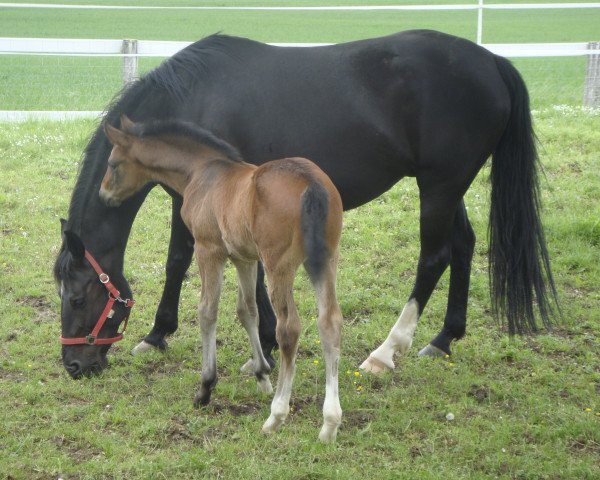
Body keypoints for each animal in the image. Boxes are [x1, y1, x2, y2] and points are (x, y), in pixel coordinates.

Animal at [54, 30, 556, 378]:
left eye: (77, 297)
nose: (74, 366)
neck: (193, 99)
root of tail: (491, 61)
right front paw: (264, 341)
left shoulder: (196, 196)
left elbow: (178, 260)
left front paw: (158, 334)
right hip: (446, 187)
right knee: (464, 245)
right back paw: (444, 337)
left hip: (439, 187)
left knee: (434, 257)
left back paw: (385, 353)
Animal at [98, 116, 342, 442]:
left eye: (112, 164)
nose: (104, 195)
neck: (201, 171)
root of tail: (311, 183)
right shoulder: (244, 258)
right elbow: (247, 311)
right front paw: (261, 374)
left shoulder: (208, 249)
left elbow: (207, 312)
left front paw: (205, 387)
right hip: (326, 260)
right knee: (329, 322)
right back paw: (330, 423)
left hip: (279, 265)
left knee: (289, 328)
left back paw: (276, 416)